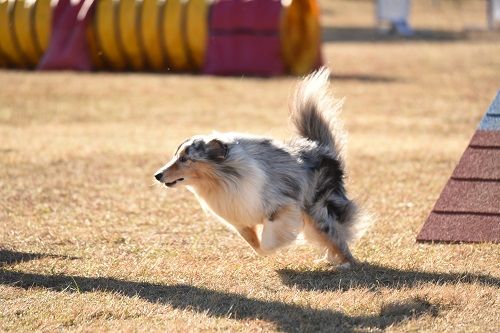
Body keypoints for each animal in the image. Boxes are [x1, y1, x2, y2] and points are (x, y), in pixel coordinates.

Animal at [154, 67, 370, 268]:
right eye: (176, 156)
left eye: (185, 159)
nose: (157, 175)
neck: (221, 180)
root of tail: (319, 147)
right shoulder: (239, 217)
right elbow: (254, 244)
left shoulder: (282, 206)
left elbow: (268, 240)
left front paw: (281, 244)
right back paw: (327, 260)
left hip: (318, 210)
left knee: (337, 235)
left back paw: (345, 263)